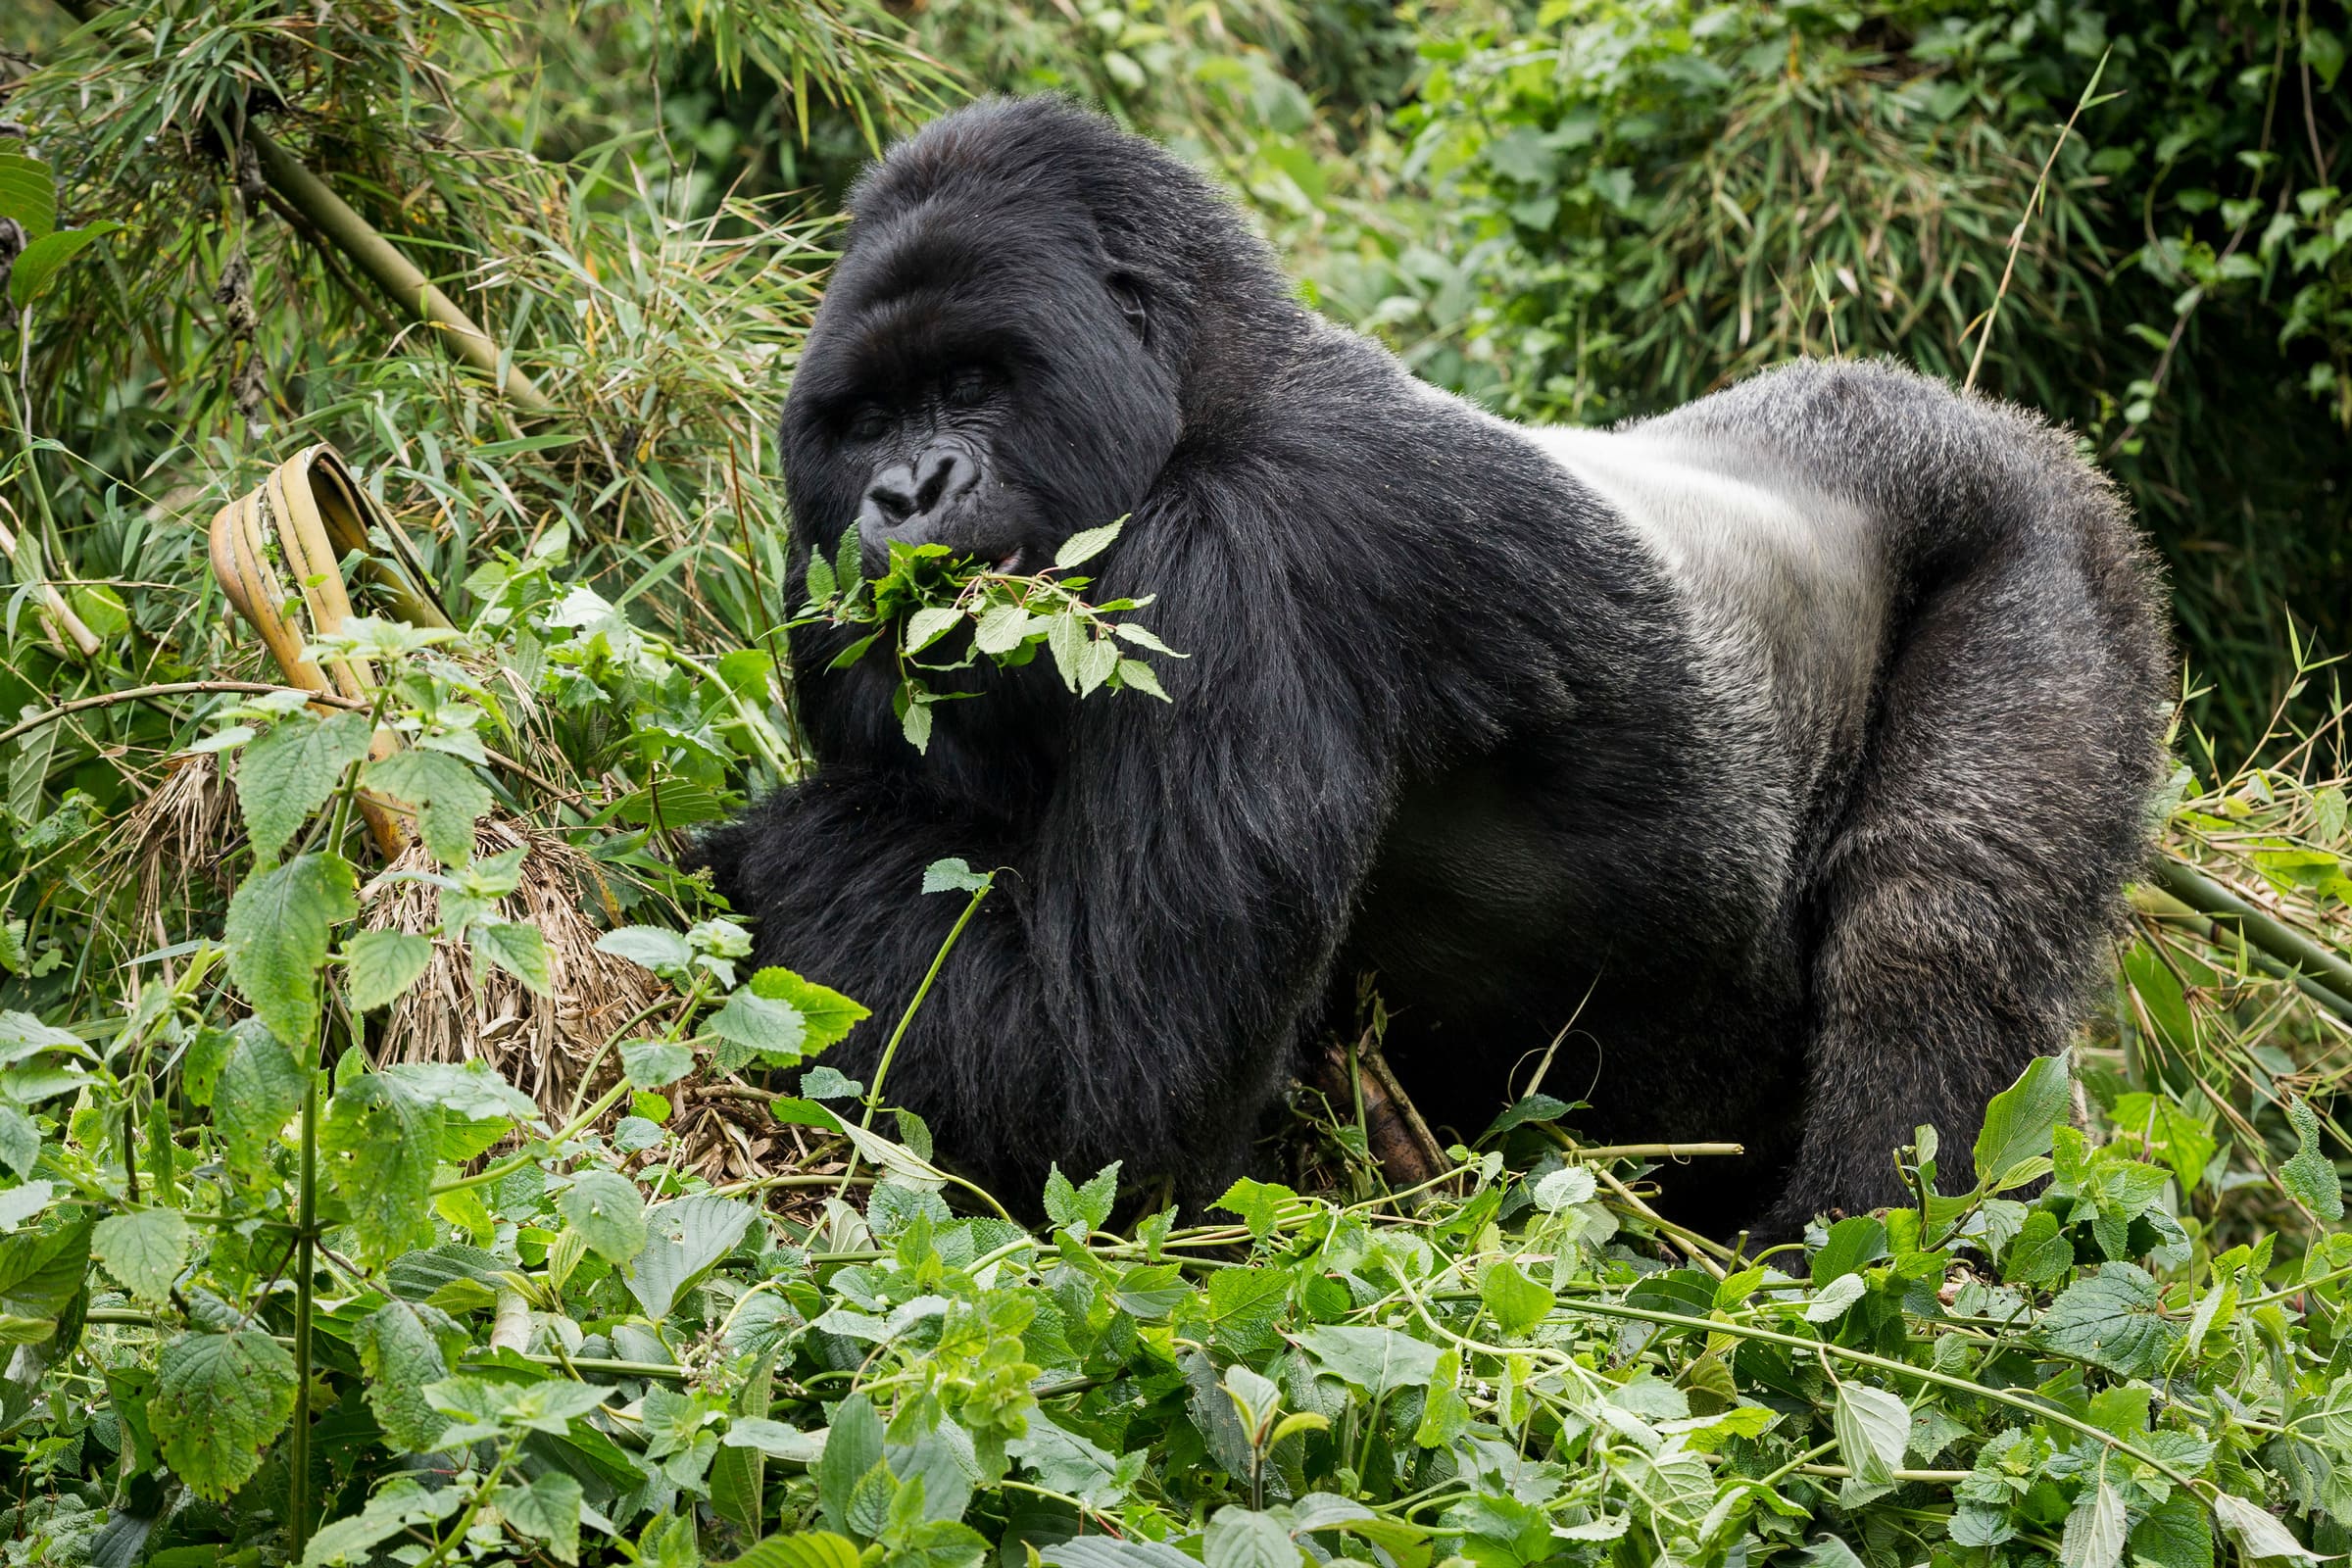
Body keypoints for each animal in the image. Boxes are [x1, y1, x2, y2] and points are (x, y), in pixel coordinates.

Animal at [696, 95, 2164, 1241]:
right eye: (868, 419)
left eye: (975, 384)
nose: (906, 491)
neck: (1210, 390)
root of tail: (1981, 414)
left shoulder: (1259, 551)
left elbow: (1106, 1089)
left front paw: (755, 852)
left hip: (2042, 535)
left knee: (1936, 926)